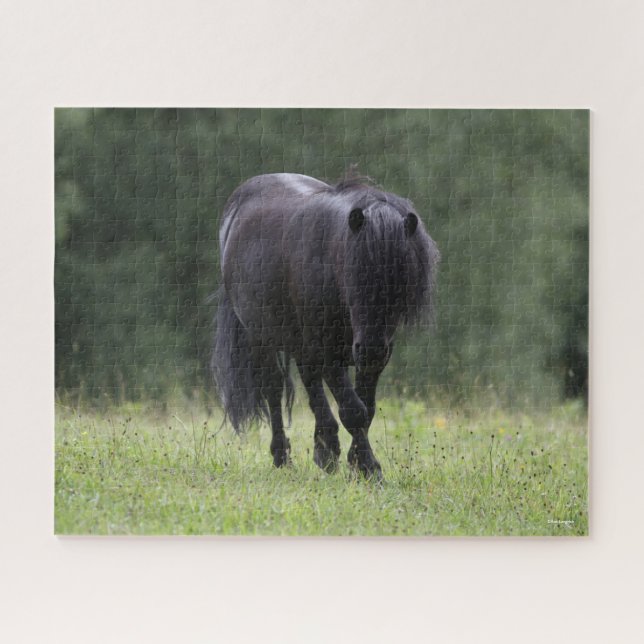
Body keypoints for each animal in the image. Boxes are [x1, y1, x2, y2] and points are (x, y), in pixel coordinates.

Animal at [211, 173, 439, 479]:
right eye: (352, 274)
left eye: (402, 278)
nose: (370, 349)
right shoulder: (329, 353)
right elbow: (353, 410)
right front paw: (370, 467)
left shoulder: (373, 356)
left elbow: (366, 409)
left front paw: (356, 462)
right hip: (261, 338)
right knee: (273, 390)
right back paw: (283, 457)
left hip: (302, 344)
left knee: (310, 385)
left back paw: (325, 449)